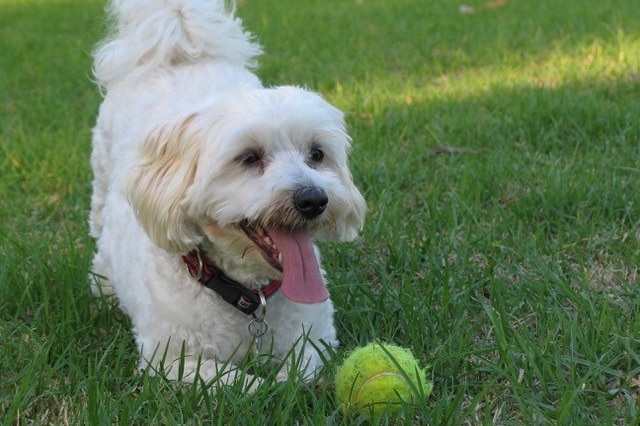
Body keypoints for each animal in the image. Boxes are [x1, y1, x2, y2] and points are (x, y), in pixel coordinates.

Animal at [89, 0, 364, 390]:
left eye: (317, 154)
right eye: (248, 158)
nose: (313, 199)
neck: (249, 294)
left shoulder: (316, 337)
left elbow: (302, 369)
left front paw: (287, 380)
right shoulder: (172, 360)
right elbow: (237, 382)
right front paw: (267, 387)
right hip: (99, 183)